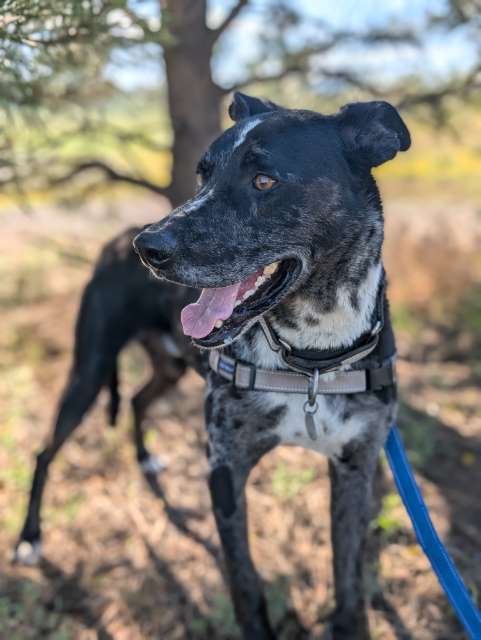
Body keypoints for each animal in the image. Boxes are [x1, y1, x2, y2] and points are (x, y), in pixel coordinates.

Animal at [132, 91, 408, 640]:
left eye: (264, 181)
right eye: (203, 175)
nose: (148, 248)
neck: (312, 359)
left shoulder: (356, 467)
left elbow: (349, 576)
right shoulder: (226, 470)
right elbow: (245, 581)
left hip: (166, 368)